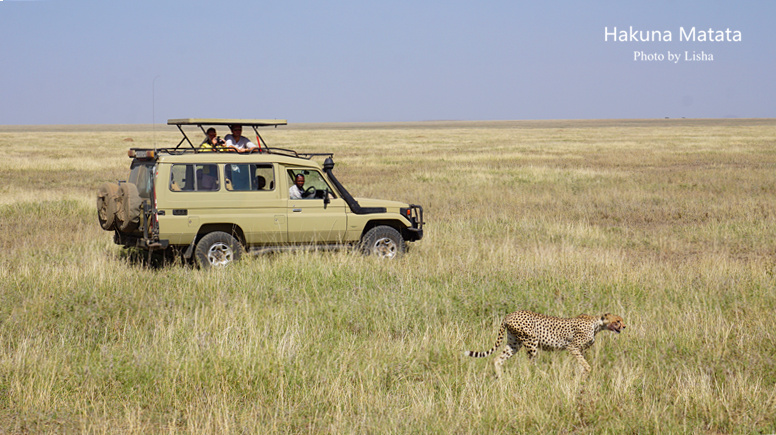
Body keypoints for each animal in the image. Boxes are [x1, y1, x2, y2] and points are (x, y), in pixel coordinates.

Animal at [466, 310, 624, 378]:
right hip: (531, 341)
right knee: (531, 363)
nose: (624, 326)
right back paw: (544, 374)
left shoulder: (580, 349)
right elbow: (584, 363)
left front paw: (581, 374)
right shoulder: (572, 347)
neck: (597, 324)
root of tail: (510, 314)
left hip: (514, 343)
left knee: (498, 359)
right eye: (617, 321)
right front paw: (586, 371)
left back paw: (501, 379)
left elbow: (581, 361)